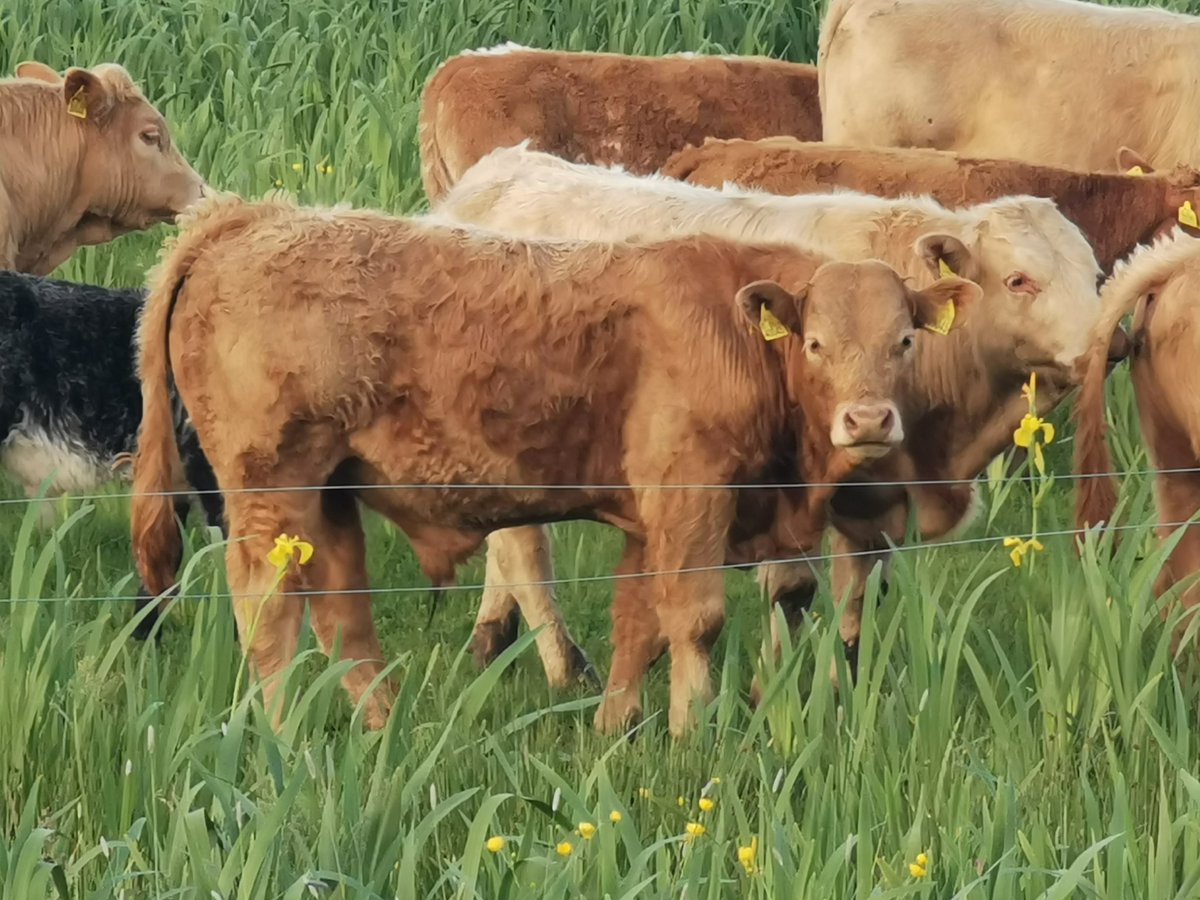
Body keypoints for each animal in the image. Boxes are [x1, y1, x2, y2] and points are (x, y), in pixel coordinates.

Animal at [129, 193, 978, 736]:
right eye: (816, 344)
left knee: (344, 615)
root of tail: (249, 218)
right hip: (272, 489)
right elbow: (694, 619)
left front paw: (615, 728)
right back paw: (284, 740)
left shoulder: (646, 519)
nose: (867, 421)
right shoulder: (690, 496)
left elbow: (638, 621)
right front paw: (692, 734)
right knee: (268, 612)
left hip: (331, 496)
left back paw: (386, 730)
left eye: (904, 341)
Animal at [432, 143, 1118, 694]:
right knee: (526, 554)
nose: (1113, 341)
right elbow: (792, 591)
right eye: (1020, 280)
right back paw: (566, 671)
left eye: (1095, 276)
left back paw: (492, 640)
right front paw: (775, 694)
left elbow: (861, 596)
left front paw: (846, 686)